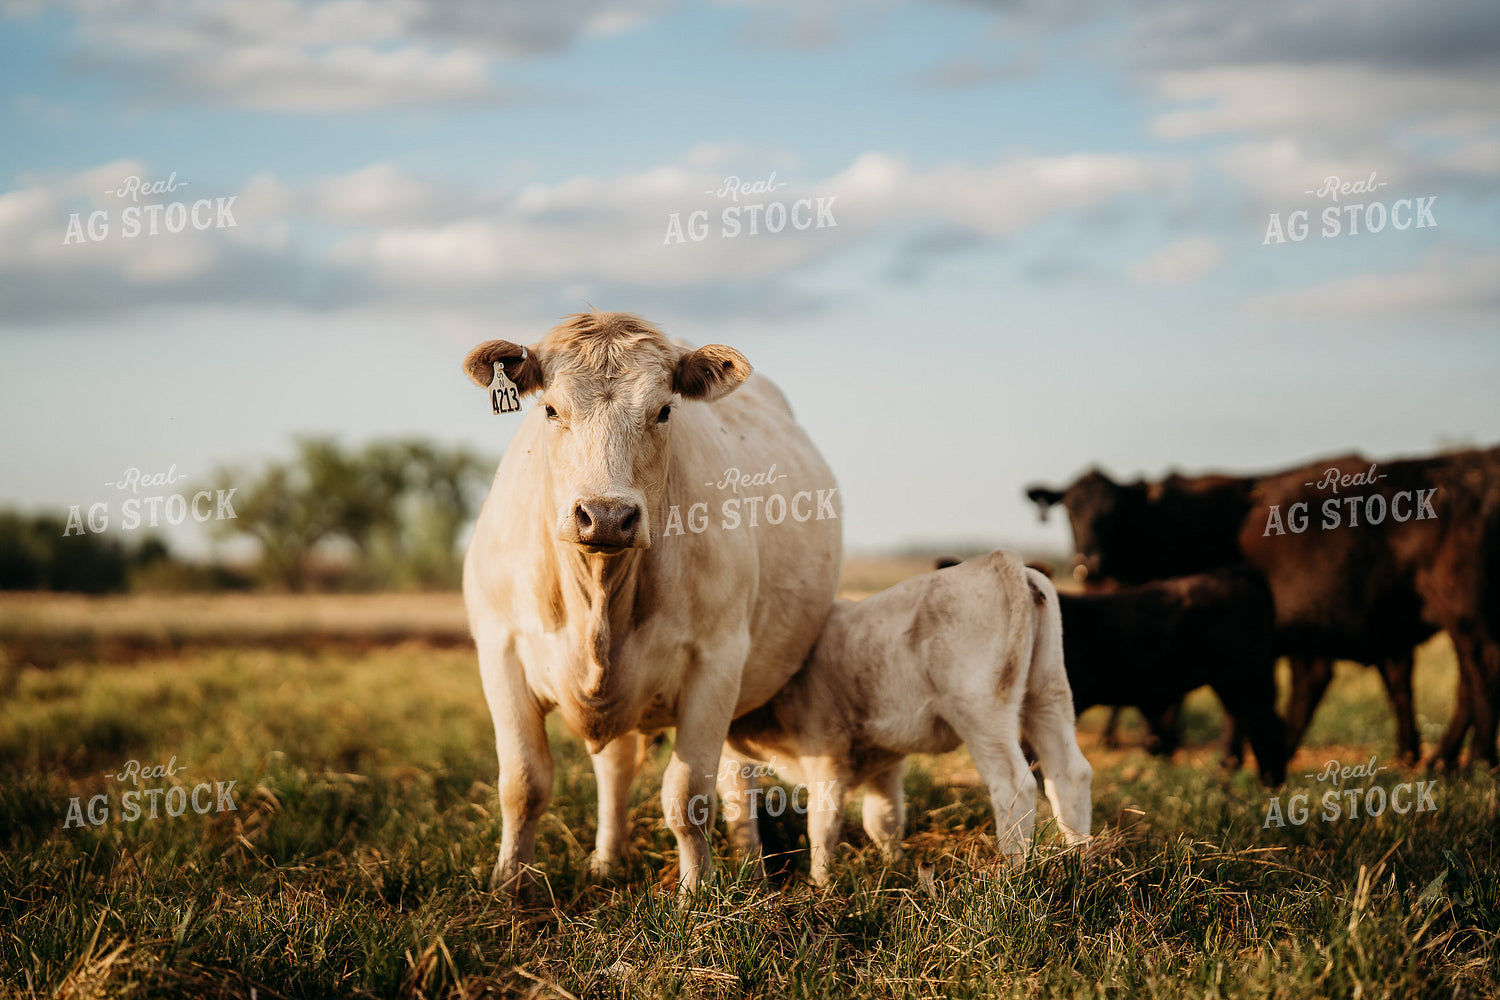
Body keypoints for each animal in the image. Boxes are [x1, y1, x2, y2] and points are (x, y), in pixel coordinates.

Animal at [462, 311, 842, 894]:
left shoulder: (717, 661)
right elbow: (523, 784)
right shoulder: (499, 652)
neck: (598, 597)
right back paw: (606, 861)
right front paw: (509, 888)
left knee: (735, 782)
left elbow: (688, 796)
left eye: (664, 410)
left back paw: (751, 872)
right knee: (615, 769)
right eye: (550, 409)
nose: (606, 516)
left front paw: (696, 892)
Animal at [723, 551, 1092, 885]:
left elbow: (820, 823)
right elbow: (883, 819)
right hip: (1048, 694)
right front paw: (895, 869)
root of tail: (996, 559)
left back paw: (1013, 875)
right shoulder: (883, 758)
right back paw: (1078, 863)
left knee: (1014, 784)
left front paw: (820, 885)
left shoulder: (826, 747)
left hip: (981, 710)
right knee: (1069, 774)